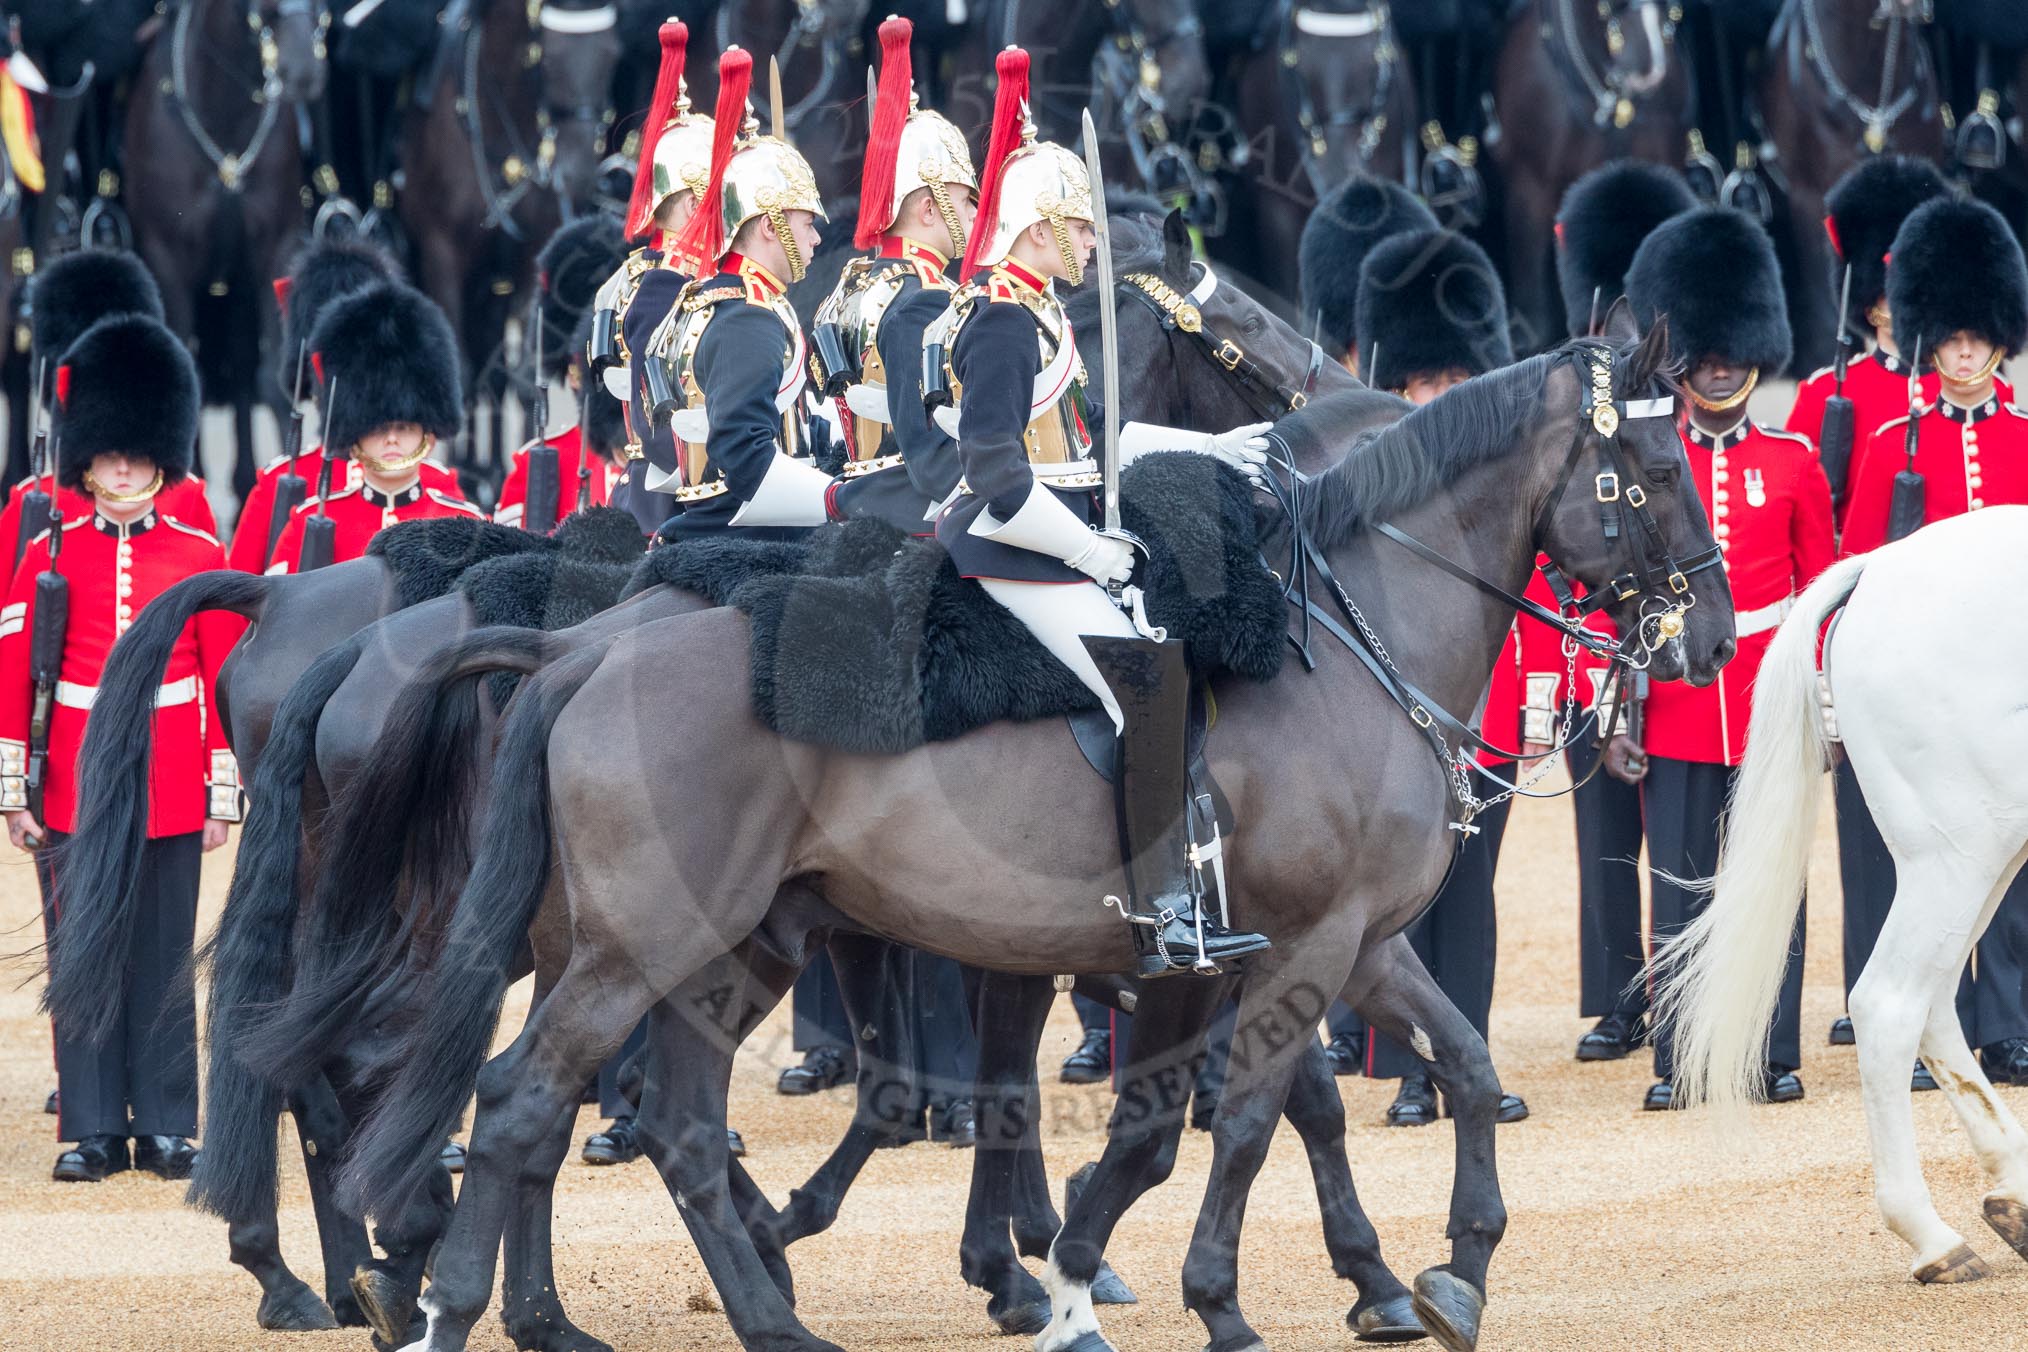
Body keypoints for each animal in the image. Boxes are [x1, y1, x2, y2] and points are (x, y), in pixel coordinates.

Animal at [331, 296, 1732, 1352]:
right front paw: (1206, 1295)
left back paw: (750, 1315)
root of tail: (587, 647)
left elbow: (1460, 1071)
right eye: (1662, 472)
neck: (1346, 636)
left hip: (721, 949)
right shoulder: (1302, 945)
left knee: (654, 1119)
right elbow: (1238, 1122)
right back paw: (461, 1307)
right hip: (643, 947)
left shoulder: (1350, 942)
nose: (1713, 638)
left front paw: (1443, 1272)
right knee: (524, 1097)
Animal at [1652, 506, 2028, 1287]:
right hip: (1958, 854)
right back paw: (1931, 1237)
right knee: (1889, 1003)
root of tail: (1878, 567)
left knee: (1932, 1003)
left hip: (1982, 854)